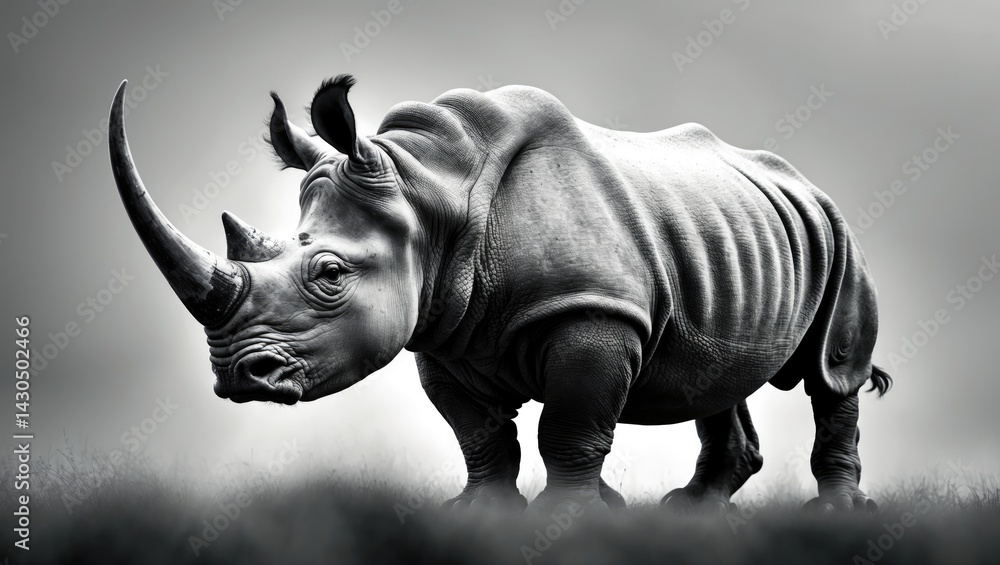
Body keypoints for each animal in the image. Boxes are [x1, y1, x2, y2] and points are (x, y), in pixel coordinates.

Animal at [108, 75, 891, 516]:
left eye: (329, 275)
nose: (239, 376)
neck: (432, 196)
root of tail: (797, 178)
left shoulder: (591, 312)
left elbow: (569, 429)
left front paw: (574, 520)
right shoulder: (441, 330)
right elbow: (479, 432)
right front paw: (479, 515)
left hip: (836, 229)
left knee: (830, 371)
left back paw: (841, 515)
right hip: (731, 236)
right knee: (715, 372)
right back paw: (692, 514)